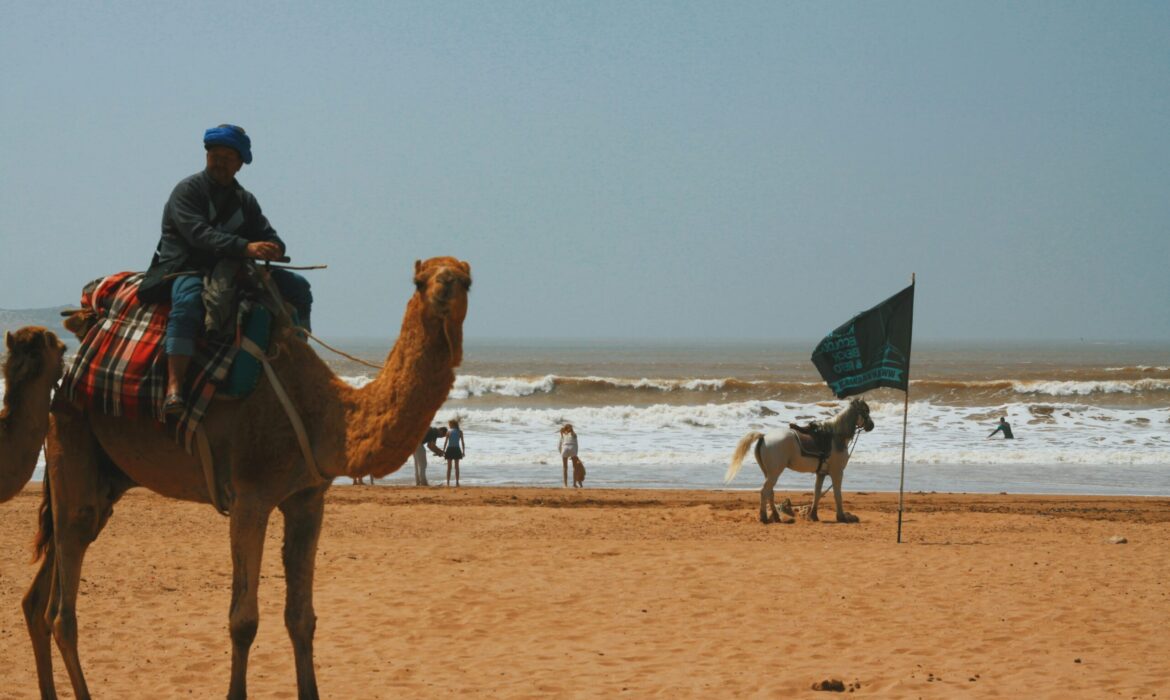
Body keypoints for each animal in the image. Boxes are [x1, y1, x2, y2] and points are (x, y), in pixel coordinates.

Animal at [22, 256, 471, 700]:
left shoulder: (307, 499)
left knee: (39, 598)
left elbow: (301, 617)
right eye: (419, 281)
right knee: (62, 608)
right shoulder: (250, 496)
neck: (324, 413)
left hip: (105, 478)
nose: (445, 287)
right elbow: (243, 621)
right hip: (72, 436)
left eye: (466, 280)